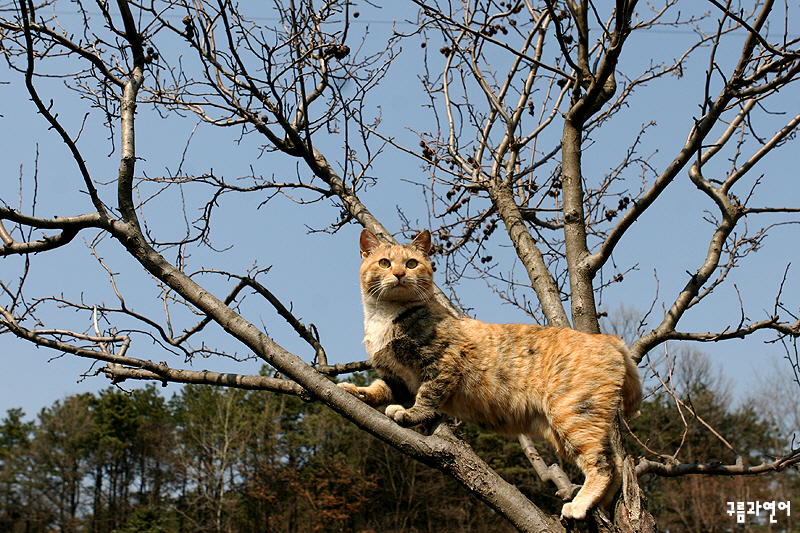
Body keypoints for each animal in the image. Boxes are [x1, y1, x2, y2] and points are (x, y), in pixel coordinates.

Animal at [338, 229, 644, 520]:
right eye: (384, 263)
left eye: (411, 263)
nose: (400, 274)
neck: (384, 318)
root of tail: (608, 339)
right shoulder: (396, 377)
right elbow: (379, 388)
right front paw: (354, 391)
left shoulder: (444, 362)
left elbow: (427, 394)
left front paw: (410, 413)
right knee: (617, 464)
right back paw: (600, 505)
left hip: (573, 414)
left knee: (603, 463)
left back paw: (579, 505)